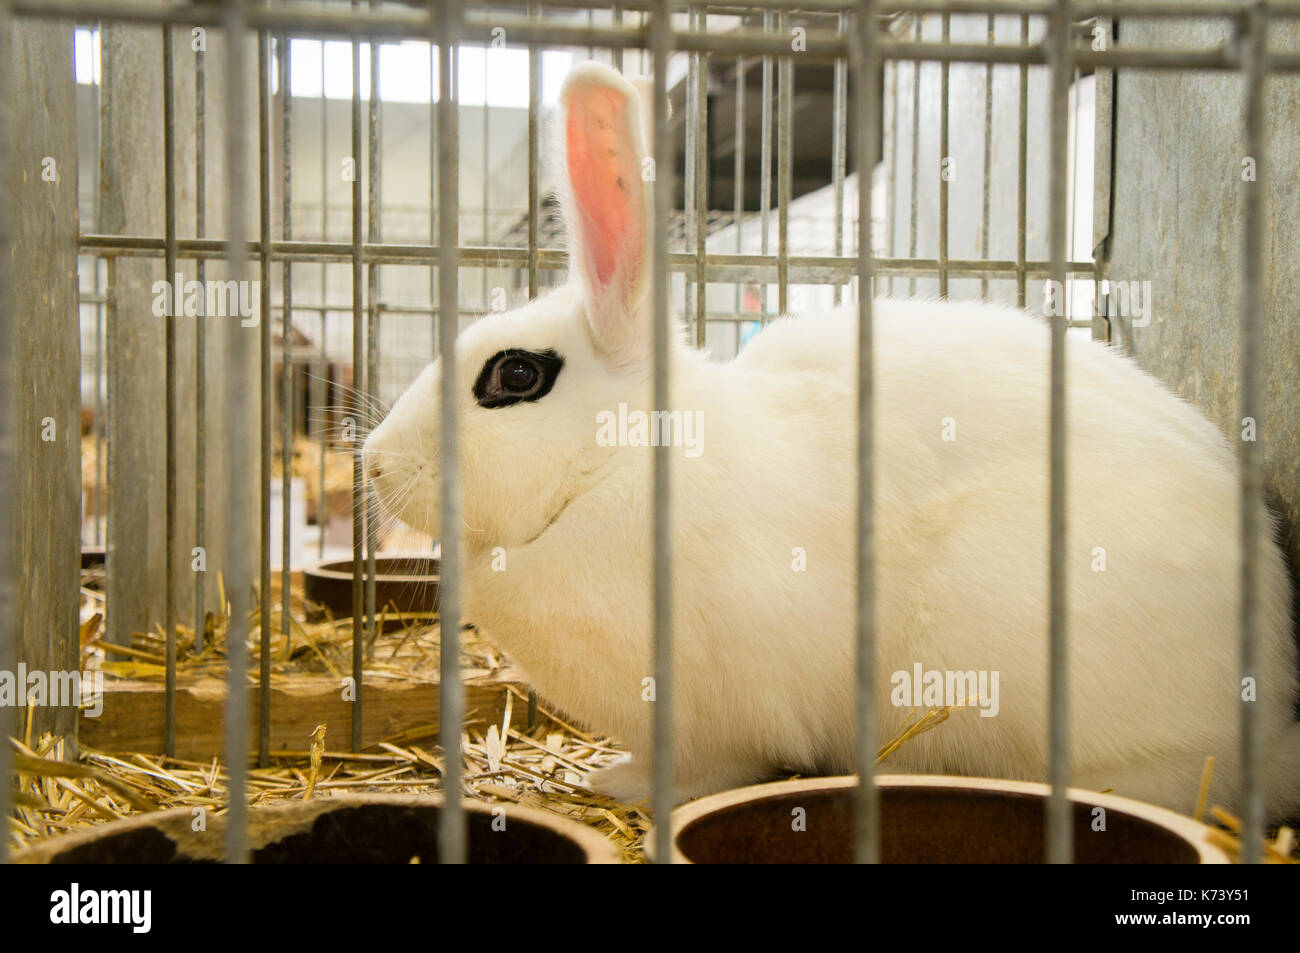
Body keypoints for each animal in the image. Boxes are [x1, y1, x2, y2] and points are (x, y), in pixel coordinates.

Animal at [364, 61, 1300, 816]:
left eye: (515, 376)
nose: (373, 463)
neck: (620, 463)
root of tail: (1267, 705)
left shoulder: (717, 712)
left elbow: (712, 766)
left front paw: (624, 785)